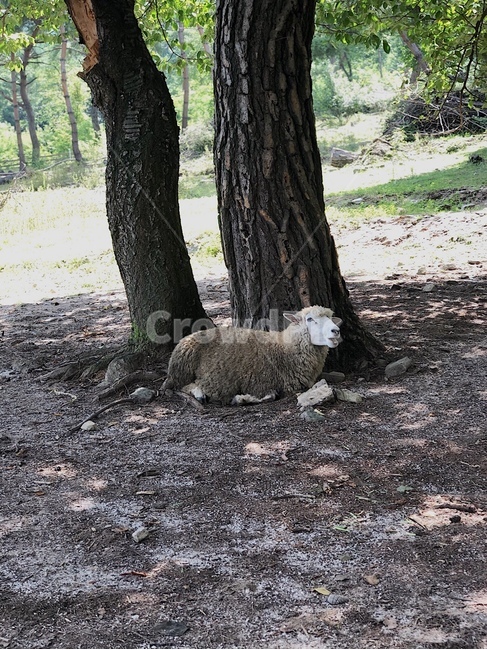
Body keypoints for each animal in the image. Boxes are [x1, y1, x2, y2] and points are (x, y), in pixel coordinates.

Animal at [163, 305, 342, 405]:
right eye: (310, 319)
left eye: (330, 317)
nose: (336, 330)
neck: (285, 349)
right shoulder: (260, 382)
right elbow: (271, 395)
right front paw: (240, 399)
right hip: (181, 369)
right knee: (179, 386)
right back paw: (199, 394)